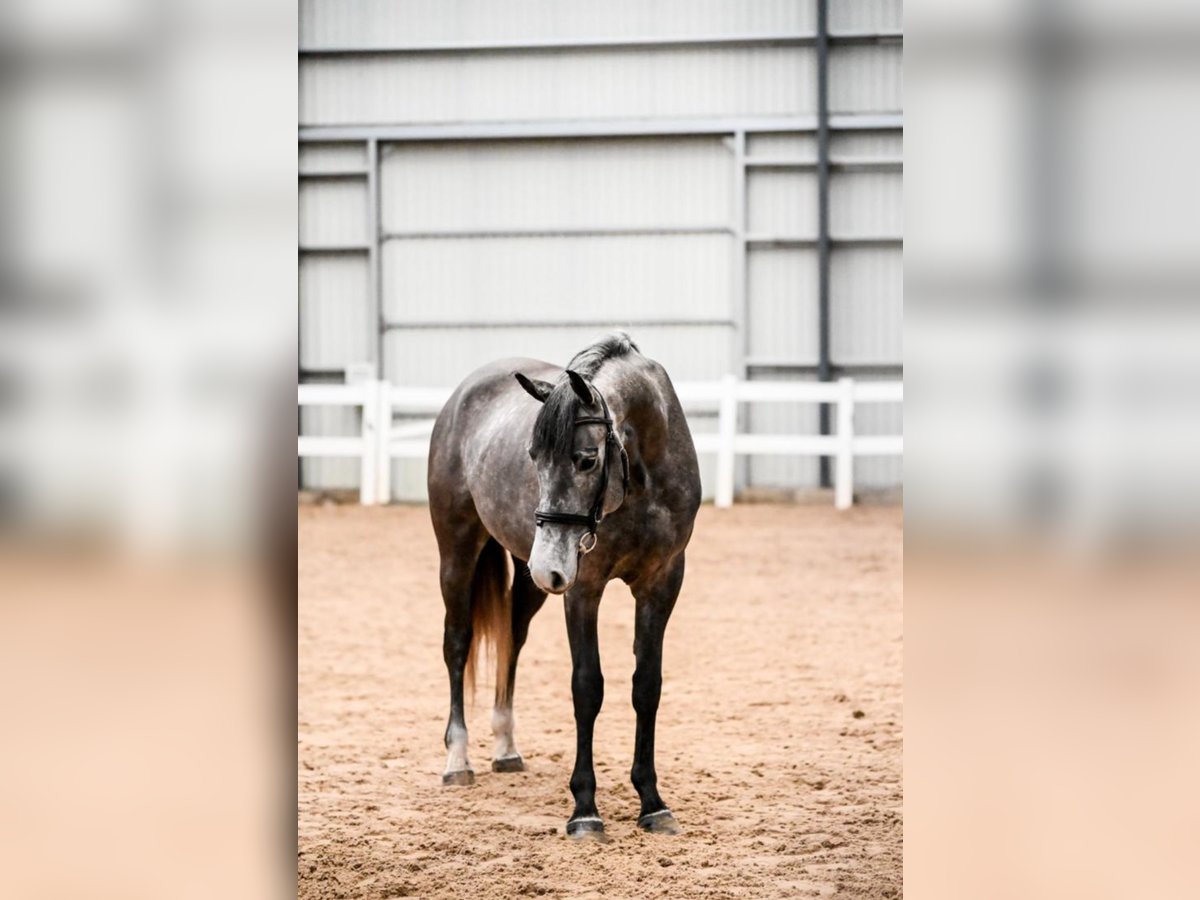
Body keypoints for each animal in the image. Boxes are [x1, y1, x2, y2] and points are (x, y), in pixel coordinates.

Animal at [427, 336, 700, 844]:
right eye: (532, 456)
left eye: (586, 459)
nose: (549, 567)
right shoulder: (583, 590)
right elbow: (587, 688)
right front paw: (585, 810)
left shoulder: (661, 584)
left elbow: (646, 686)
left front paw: (652, 803)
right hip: (458, 552)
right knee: (456, 644)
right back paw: (458, 760)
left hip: (527, 579)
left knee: (512, 641)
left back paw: (505, 748)